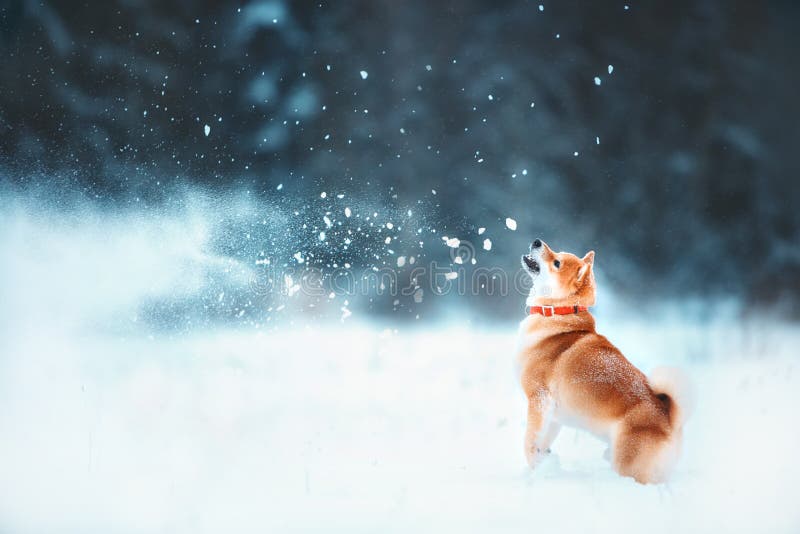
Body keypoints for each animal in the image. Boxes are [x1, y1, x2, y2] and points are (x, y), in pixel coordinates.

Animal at [520, 241, 688, 484]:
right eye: (557, 253)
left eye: (557, 262)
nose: (536, 241)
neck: (558, 313)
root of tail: (668, 417)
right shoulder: (553, 416)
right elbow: (542, 443)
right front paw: (542, 466)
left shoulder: (538, 399)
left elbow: (529, 441)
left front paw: (535, 466)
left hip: (626, 462)